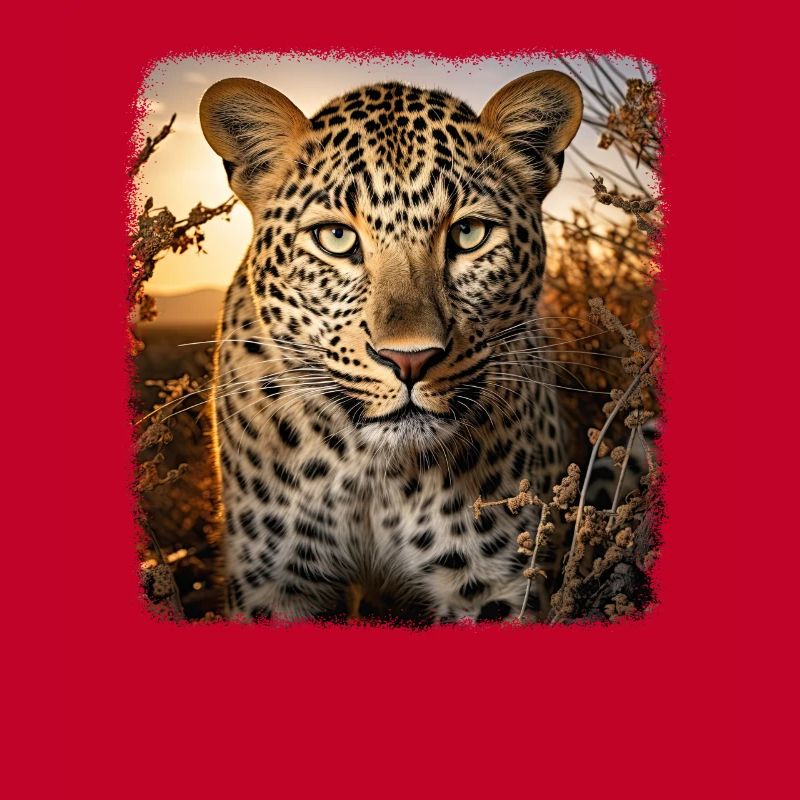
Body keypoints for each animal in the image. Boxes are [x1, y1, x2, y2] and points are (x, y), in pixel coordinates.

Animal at [199, 70, 584, 623]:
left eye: (469, 233)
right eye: (336, 238)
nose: (410, 359)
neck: (376, 477)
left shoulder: (495, 583)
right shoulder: (275, 582)